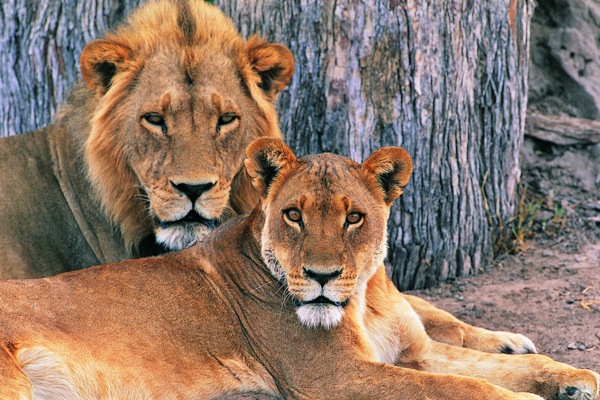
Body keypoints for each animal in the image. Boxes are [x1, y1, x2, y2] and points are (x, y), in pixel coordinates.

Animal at [0, 138, 596, 400]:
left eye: (354, 217)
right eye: (293, 214)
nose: (323, 276)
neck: (365, 300)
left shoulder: (414, 352)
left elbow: (493, 369)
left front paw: (576, 379)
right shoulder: (331, 378)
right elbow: (463, 388)